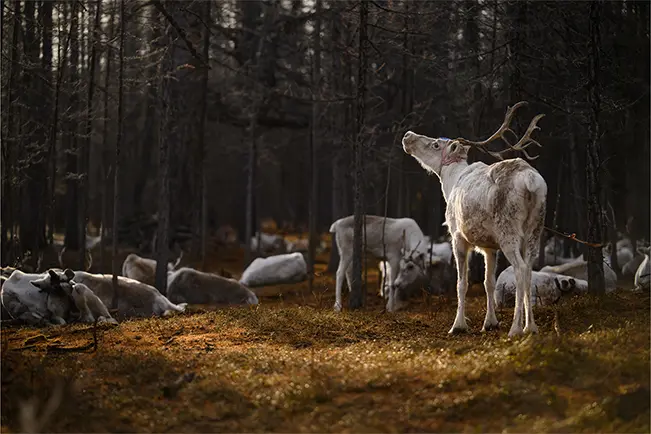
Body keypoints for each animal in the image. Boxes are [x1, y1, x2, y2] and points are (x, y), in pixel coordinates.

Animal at [402, 101, 547, 337]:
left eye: (435, 144)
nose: (407, 136)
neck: (449, 184)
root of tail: (531, 182)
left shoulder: (457, 236)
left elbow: (462, 283)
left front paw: (458, 325)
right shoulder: (489, 246)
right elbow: (489, 282)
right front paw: (490, 323)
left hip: (508, 230)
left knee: (520, 268)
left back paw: (515, 328)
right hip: (535, 228)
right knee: (529, 269)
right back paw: (531, 326)